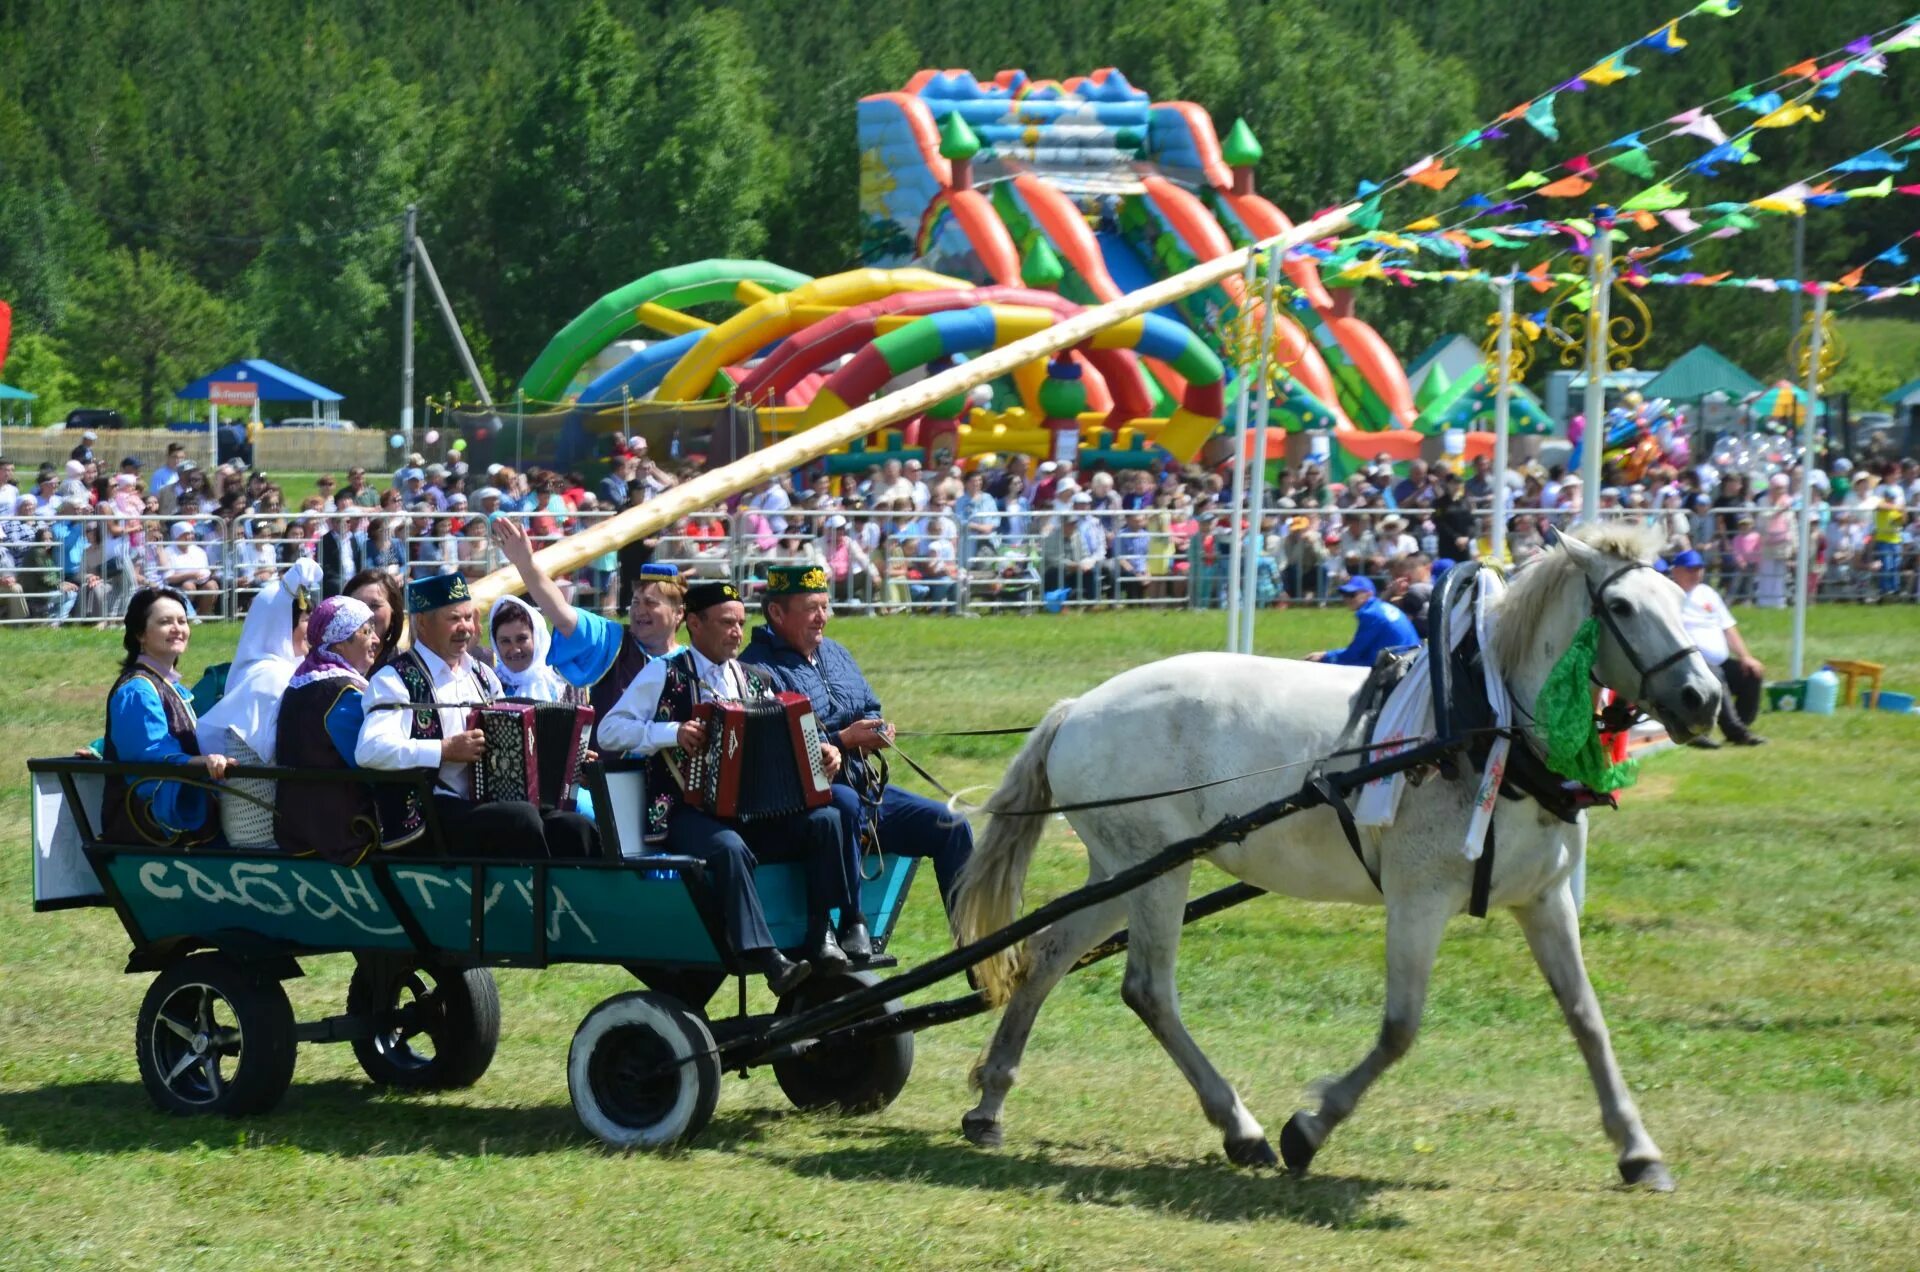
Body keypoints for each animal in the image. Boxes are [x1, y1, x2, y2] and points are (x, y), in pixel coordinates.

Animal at [952, 522, 1720, 1191]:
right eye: (1620, 606)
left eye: (1679, 599)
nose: (1705, 698)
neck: (1488, 728)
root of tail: (1077, 708)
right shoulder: (1419, 899)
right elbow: (1400, 1028)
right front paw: (1308, 1130)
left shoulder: (1545, 898)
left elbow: (1587, 1019)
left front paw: (1638, 1150)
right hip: (1158, 869)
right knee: (1147, 988)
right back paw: (1241, 1128)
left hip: (1121, 869)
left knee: (1048, 956)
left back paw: (991, 1104)